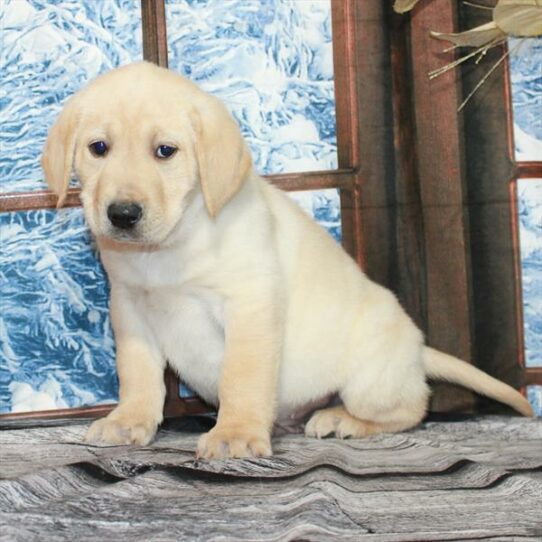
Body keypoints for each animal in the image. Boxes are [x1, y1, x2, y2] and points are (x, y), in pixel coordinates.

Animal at [42, 61, 536, 462]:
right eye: (98, 148)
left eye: (165, 151)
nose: (122, 214)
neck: (172, 246)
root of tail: (416, 350)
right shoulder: (130, 308)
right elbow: (138, 373)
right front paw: (129, 420)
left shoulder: (250, 305)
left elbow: (241, 376)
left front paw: (235, 433)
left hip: (369, 381)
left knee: (412, 408)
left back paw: (341, 419)